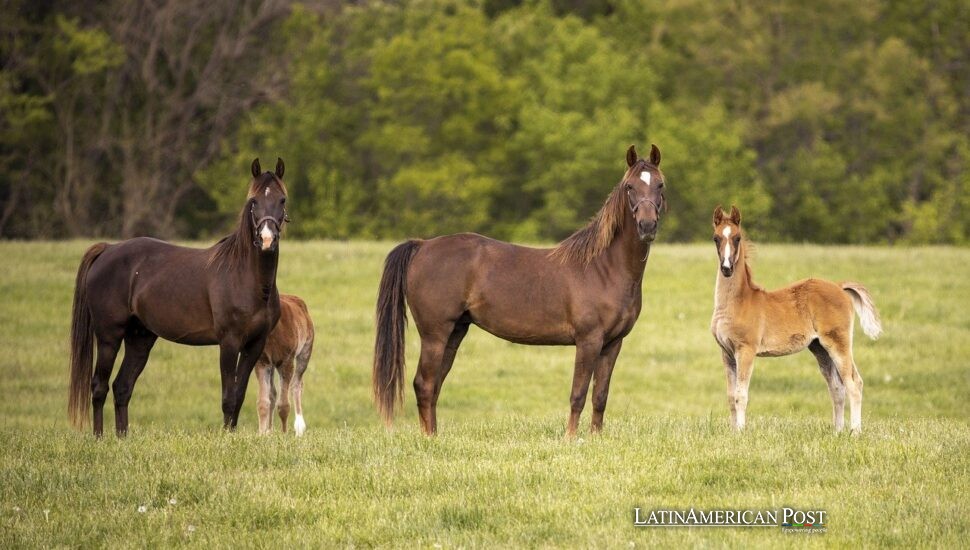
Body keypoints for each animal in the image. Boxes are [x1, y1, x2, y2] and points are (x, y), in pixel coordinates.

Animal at [69, 157, 288, 438]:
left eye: (282, 199)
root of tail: (108, 249)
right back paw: (99, 438)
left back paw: (122, 438)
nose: (267, 239)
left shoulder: (255, 344)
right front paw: (227, 438)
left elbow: (238, 396)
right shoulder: (229, 342)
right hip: (109, 336)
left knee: (122, 386)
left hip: (140, 338)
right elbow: (228, 397)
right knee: (99, 386)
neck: (246, 277)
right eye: (254, 201)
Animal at [253, 296, 314, 438]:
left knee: (297, 384)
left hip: (305, 351)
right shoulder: (262, 362)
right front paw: (262, 434)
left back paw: (299, 429)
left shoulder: (287, 361)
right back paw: (269, 430)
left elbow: (284, 405)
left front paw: (284, 434)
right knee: (273, 393)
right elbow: (263, 402)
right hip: (272, 365)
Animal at [370, 144, 664, 438]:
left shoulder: (613, 343)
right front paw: (570, 438)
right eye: (629, 186)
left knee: (434, 385)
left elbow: (600, 396)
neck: (602, 268)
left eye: (660, 184)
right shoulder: (588, 340)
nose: (647, 226)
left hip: (454, 332)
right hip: (435, 334)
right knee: (425, 383)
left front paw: (595, 437)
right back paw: (429, 439)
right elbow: (578, 394)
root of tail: (422, 246)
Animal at [708, 207, 880, 436]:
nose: (726, 268)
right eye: (716, 238)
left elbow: (741, 395)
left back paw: (855, 432)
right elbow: (730, 396)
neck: (738, 302)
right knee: (837, 388)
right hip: (820, 348)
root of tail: (839, 286)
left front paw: (742, 433)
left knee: (854, 383)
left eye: (737, 238)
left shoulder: (746, 350)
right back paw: (837, 432)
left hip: (839, 343)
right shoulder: (726, 353)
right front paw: (733, 432)